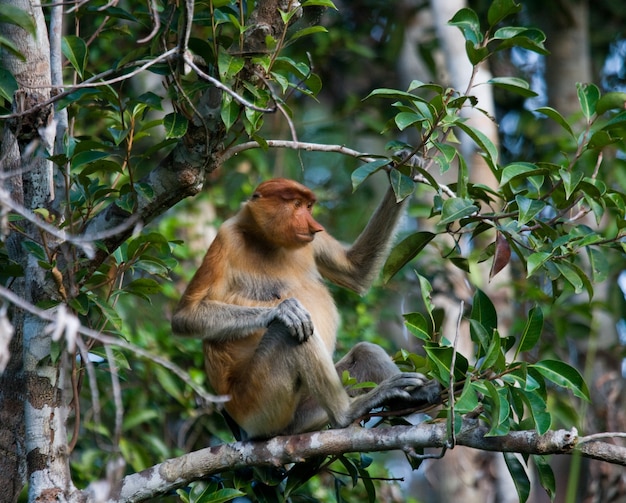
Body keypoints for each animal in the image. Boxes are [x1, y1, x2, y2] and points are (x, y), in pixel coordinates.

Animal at [169, 179, 434, 440]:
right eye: (296, 204)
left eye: (308, 206)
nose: (315, 225)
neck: (266, 240)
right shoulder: (226, 237)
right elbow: (185, 316)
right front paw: (283, 310)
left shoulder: (312, 240)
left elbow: (355, 270)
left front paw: (407, 169)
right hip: (258, 409)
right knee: (288, 333)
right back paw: (347, 413)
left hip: (305, 410)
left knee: (364, 351)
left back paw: (413, 394)